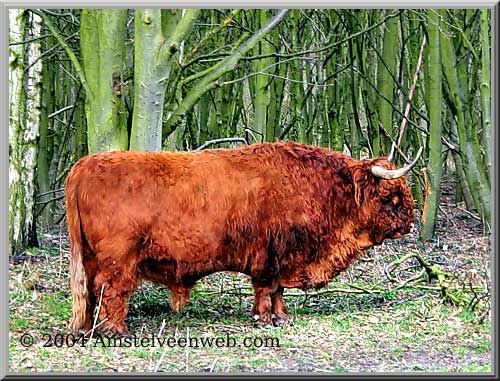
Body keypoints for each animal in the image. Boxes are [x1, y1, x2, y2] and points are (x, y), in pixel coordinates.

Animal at [65, 141, 418, 334]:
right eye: (391, 195)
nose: (411, 222)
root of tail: (84, 165)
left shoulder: (280, 258)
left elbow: (277, 291)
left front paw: (282, 317)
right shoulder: (270, 257)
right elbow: (267, 288)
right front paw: (264, 319)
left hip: (92, 257)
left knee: (92, 291)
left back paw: (90, 327)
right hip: (118, 260)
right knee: (112, 290)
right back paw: (115, 330)